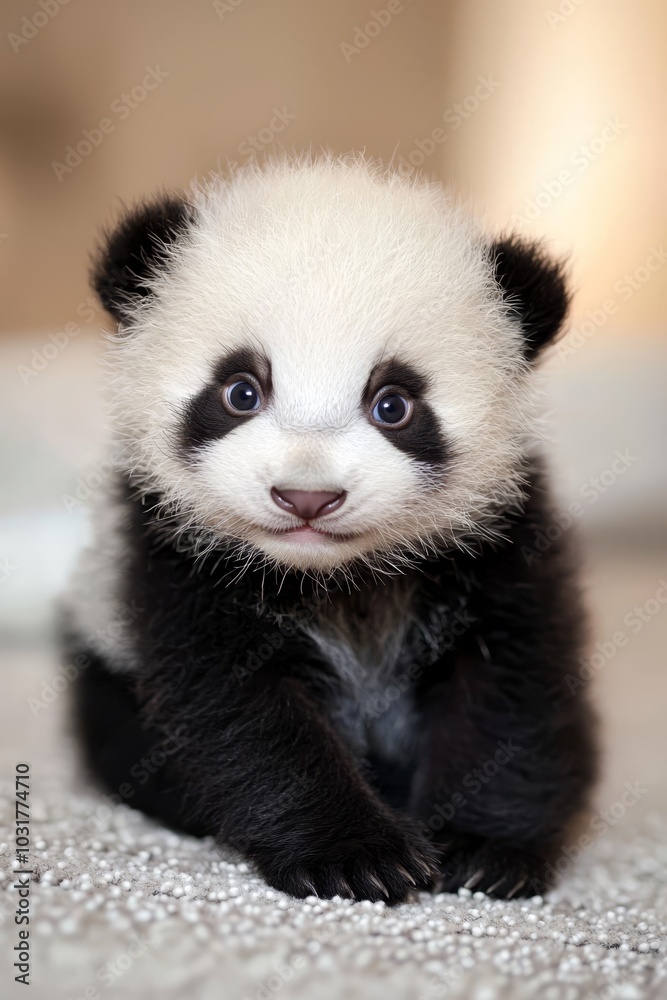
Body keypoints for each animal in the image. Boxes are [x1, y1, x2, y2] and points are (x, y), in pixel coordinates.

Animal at [65, 156, 597, 904]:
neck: (337, 578)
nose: (306, 497)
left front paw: (484, 851)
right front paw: (356, 856)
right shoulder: (177, 556)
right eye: (240, 391)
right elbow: (242, 714)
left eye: (393, 404)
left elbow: (506, 687)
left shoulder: (500, 539)